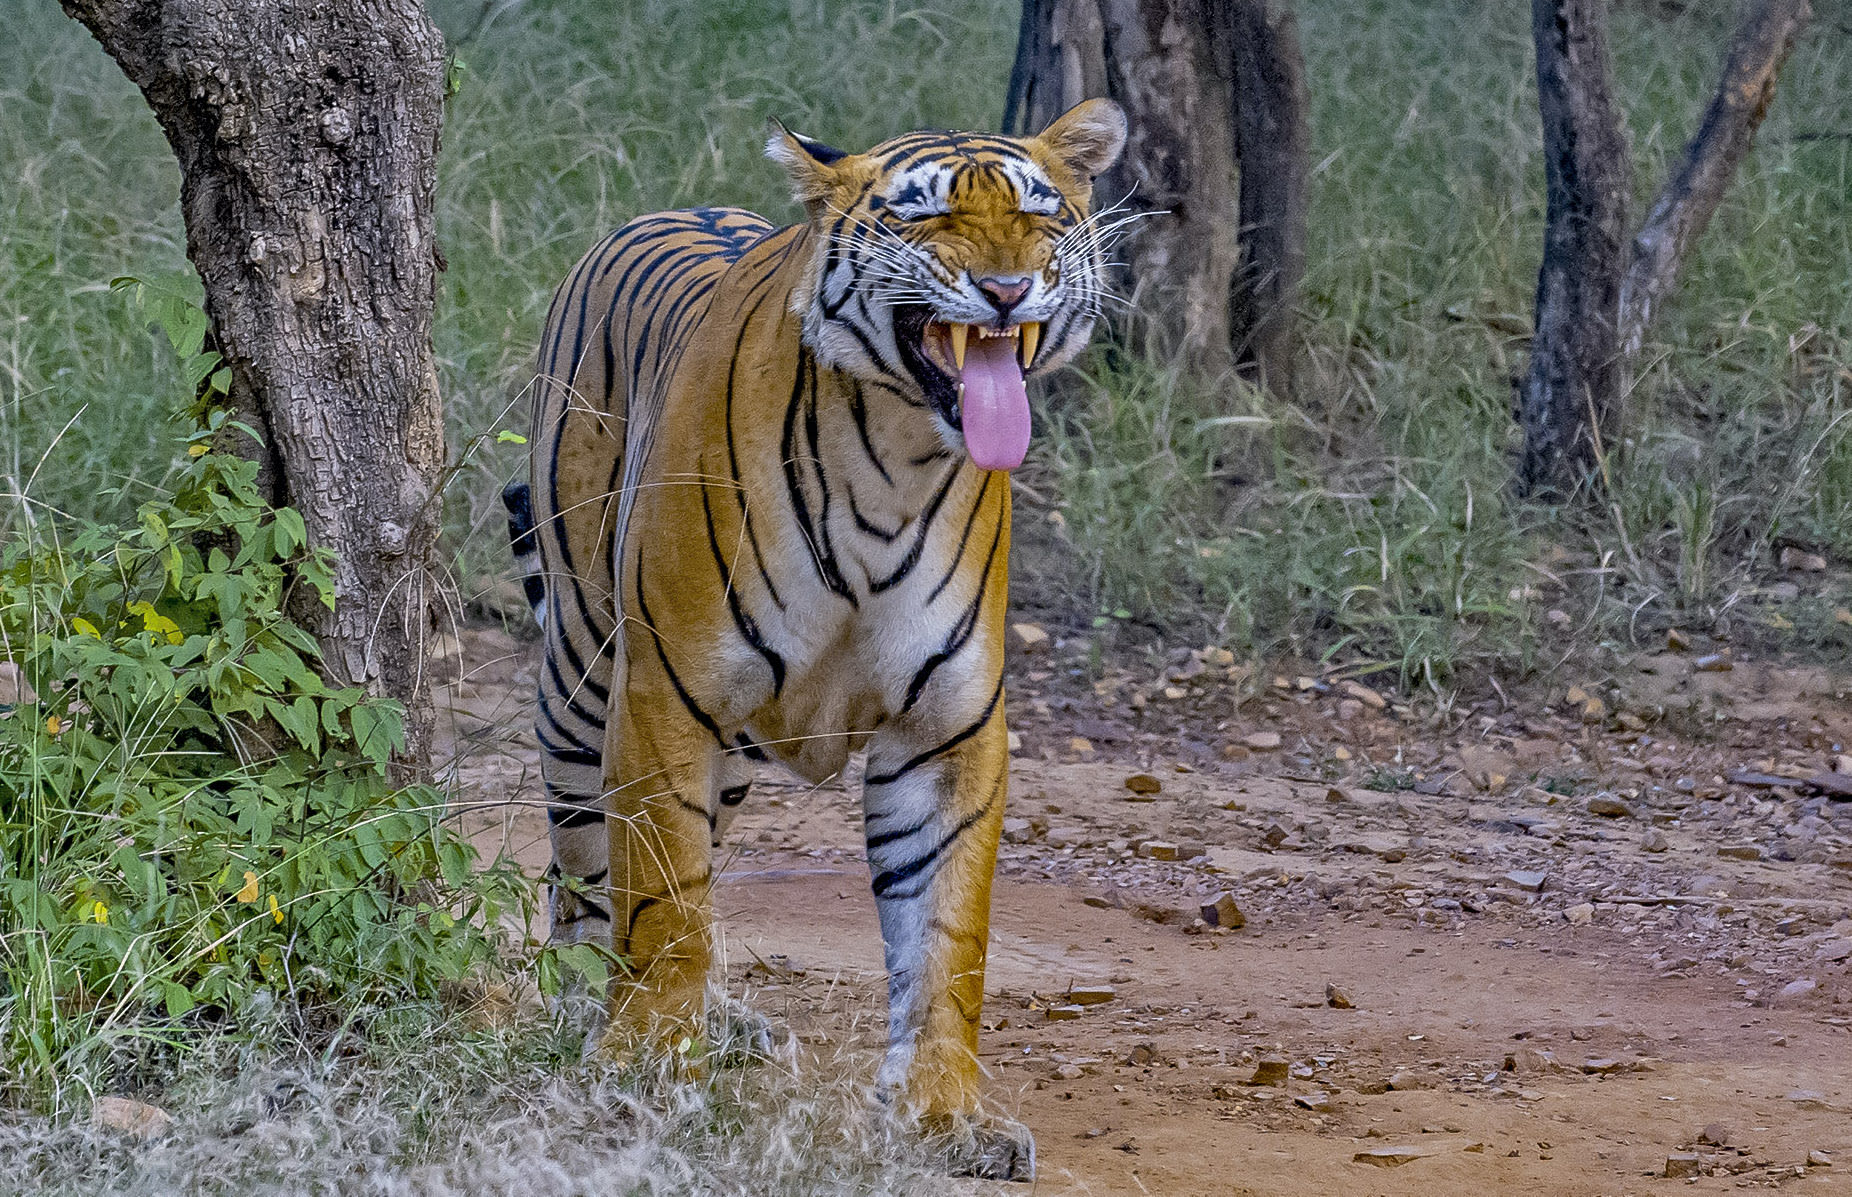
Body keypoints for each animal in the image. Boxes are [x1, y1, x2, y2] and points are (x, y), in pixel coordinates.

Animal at [507, 96, 1133, 1178]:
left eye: (1040, 213)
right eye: (925, 218)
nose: (1007, 288)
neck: (896, 457)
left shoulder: (946, 727)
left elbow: (945, 935)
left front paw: (945, 1118)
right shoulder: (664, 693)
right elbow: (664, 901)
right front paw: (643, 1065)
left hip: (723, 753)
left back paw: (721, 1022)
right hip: (583, 674)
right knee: (585, 875)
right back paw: (583, 1003)